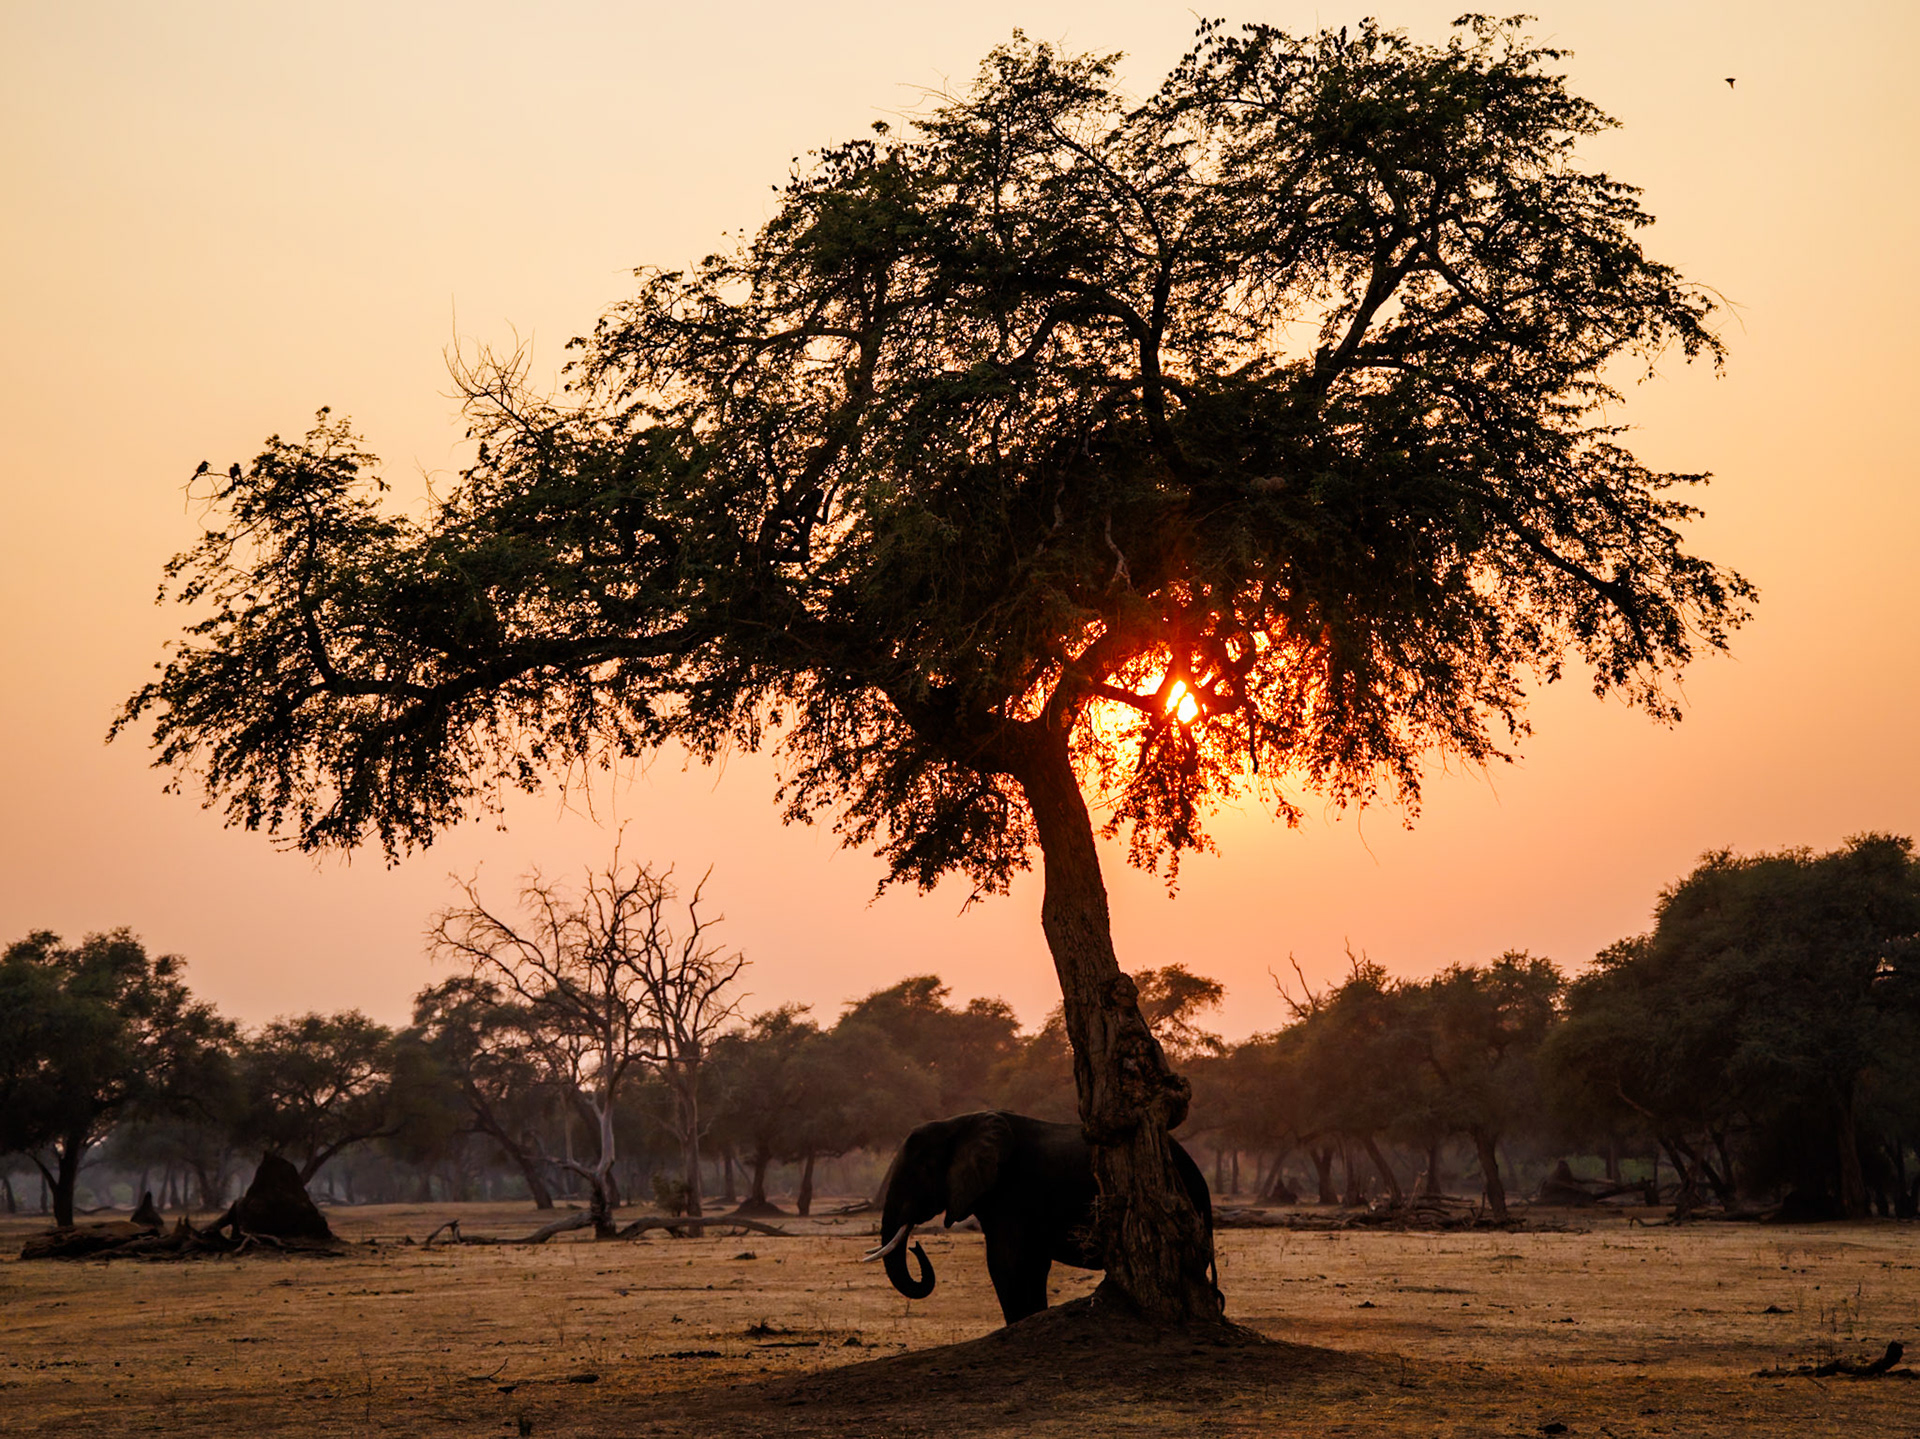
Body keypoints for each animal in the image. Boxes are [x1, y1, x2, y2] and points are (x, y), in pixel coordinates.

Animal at [862, 1109, 1213, 1325]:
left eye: (918, 1172)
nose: (915, 1246)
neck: (959, 1122)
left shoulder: (1012, 1192)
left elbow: (1006, 1263)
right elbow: (1027, 1263)